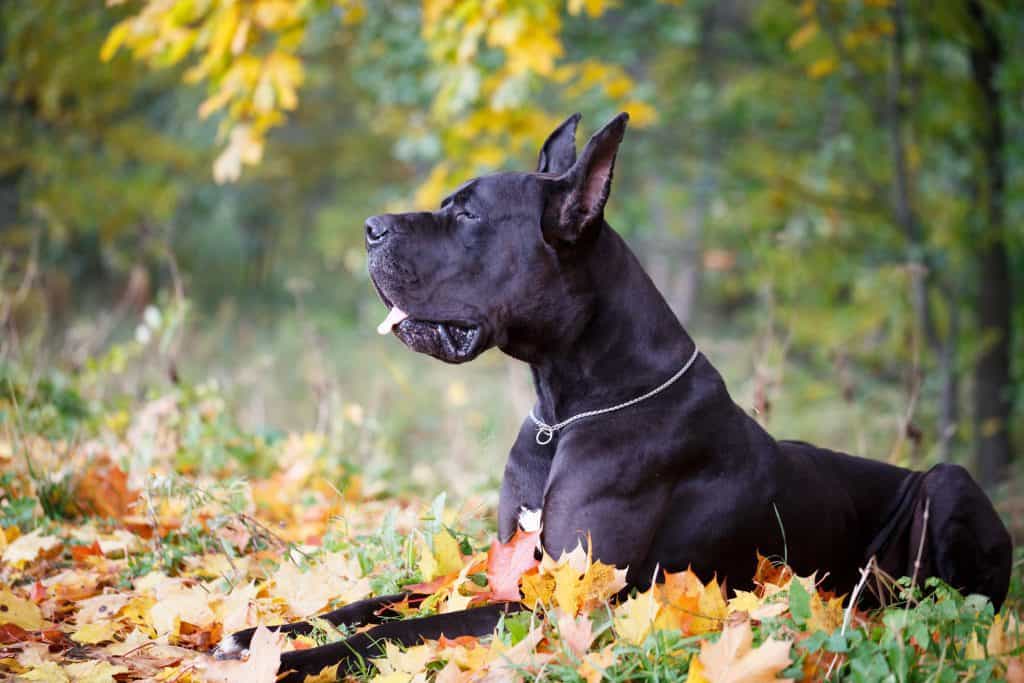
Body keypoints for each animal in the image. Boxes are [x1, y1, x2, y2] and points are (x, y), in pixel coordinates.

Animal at [220, 112, 1011, 679]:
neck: (564, 408)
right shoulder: (502, 570)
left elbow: (405, 628)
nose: (370, 228)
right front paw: (259, 632)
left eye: (469, 216)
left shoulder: (560, 600)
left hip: (947, 483)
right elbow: (378, 599)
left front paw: (299, 660)